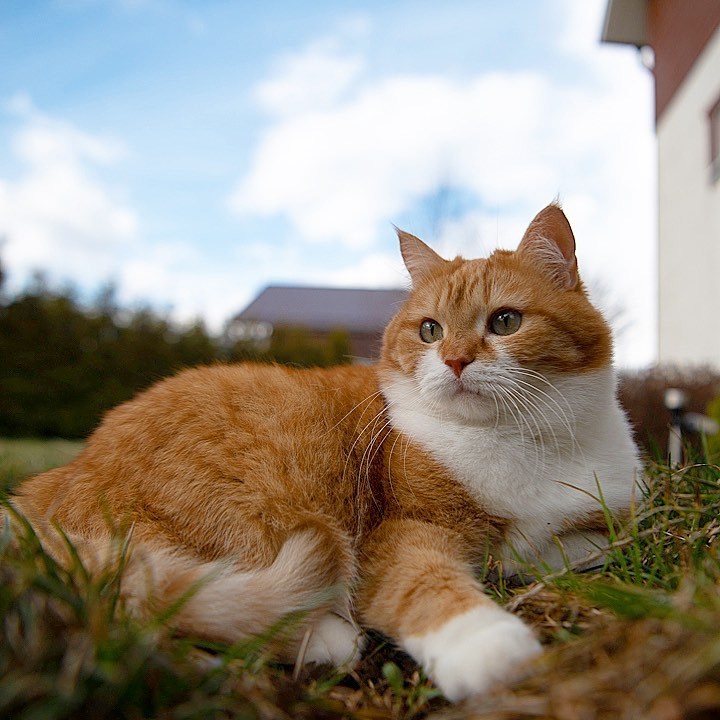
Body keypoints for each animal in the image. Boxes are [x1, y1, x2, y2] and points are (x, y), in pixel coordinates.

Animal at [7, 204, 640, 704]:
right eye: (430, 331)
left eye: (505, 321)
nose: (456, 360)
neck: (523, 442)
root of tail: (48, 485)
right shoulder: (399, 536)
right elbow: (425, 585)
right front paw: (488, 646)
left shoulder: (608, 522)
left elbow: (572, 549)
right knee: (173, 608)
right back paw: (330, 638)